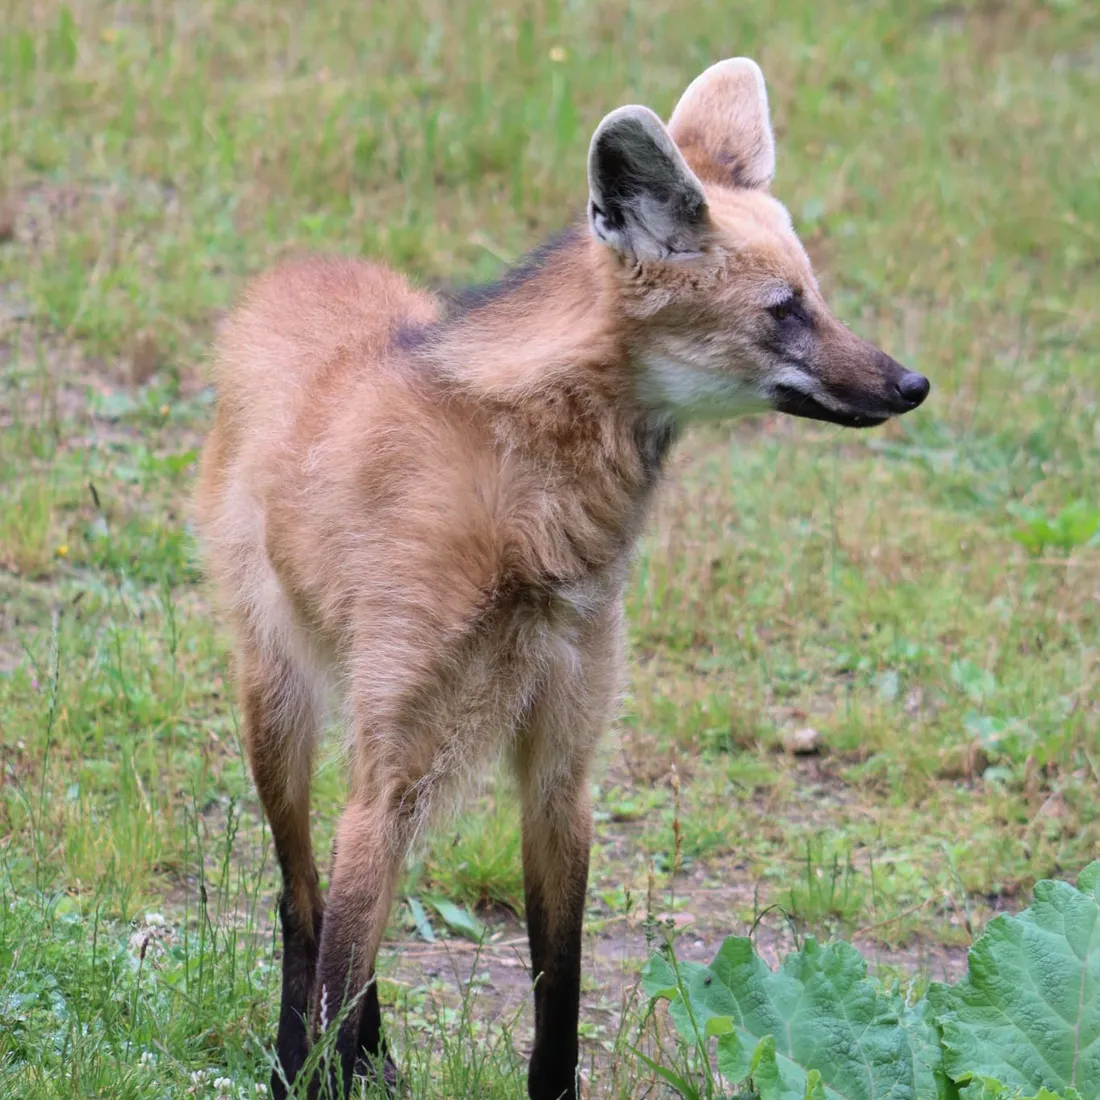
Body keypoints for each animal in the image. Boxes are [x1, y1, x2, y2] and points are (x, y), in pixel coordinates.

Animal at [195, 58, 928, 1100]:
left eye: (817, 298)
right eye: (784, 309)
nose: (912, 385)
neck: (536, 520)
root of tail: (296, 270)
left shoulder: (560, 768)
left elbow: (559, 995)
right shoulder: (394, 771)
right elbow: (337, 943)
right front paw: (315, 1069)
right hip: (279, 701)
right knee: (302, 895)